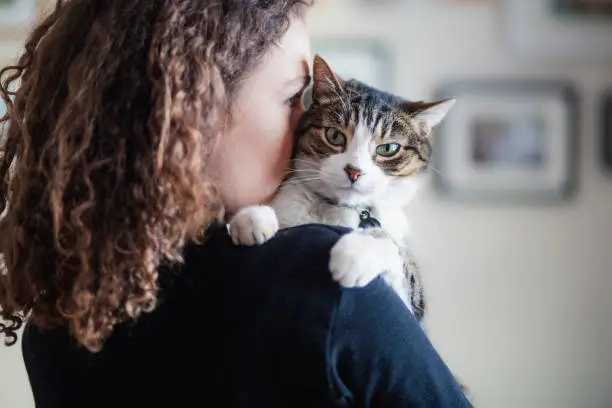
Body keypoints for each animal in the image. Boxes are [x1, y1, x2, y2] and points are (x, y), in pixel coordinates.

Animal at [228, 55, 454, 322]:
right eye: (334, 136)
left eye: (388, 149)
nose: (353, 171)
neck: (340, 209)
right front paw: (251, 218)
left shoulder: (413, 304)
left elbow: (396, 254)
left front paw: (356, 253)